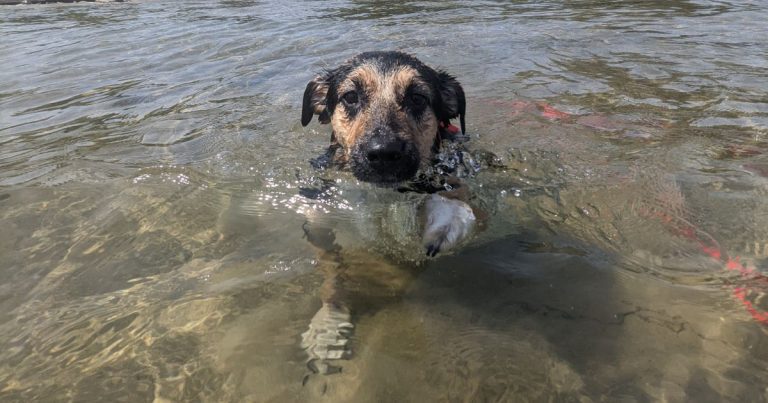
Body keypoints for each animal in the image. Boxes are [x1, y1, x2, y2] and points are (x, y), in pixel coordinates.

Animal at [296, 52, 476, 378]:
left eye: (417, 97)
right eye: (350, 97)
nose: (383, 153)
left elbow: (460, 202)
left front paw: (446, 222)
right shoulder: (320, 215)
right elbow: (331, 272)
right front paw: (328, 325)